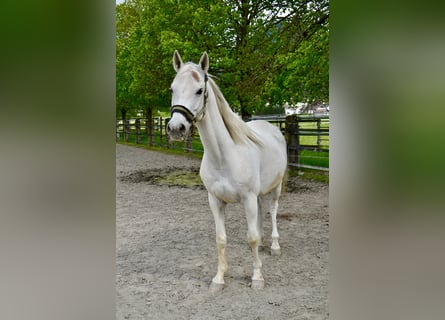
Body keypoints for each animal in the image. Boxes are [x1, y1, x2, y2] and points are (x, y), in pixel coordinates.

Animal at [166, 50, 288, 292]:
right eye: (172, 89)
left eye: (199, 90)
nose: (176, 128)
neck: (224, 156)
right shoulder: (215, 200)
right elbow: (221, 238)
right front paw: (219, 278)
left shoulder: (248, 198)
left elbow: (251, 237)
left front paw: (257, 277)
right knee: (261, 213)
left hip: (276, 188)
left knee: (272, 211)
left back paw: (274, 246)